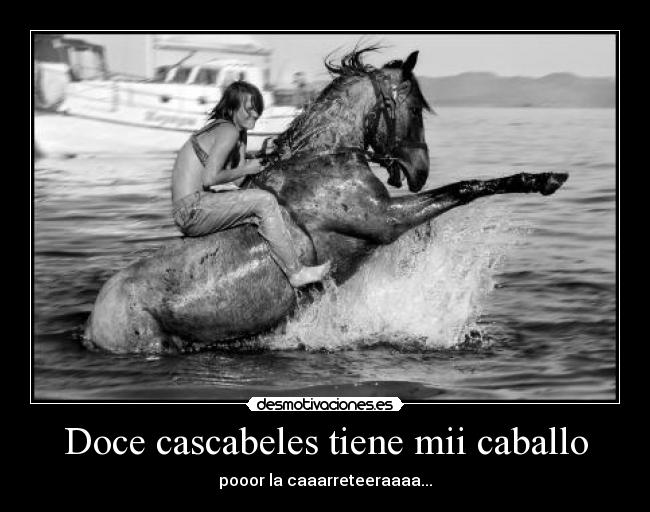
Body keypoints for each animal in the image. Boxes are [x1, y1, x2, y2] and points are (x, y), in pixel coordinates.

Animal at [84, 47, 568, 354]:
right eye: (414, 110)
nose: (419, 170)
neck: (324, 158)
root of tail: (94, 323)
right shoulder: (385, 222)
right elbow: (464, 188)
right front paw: (543, 179)